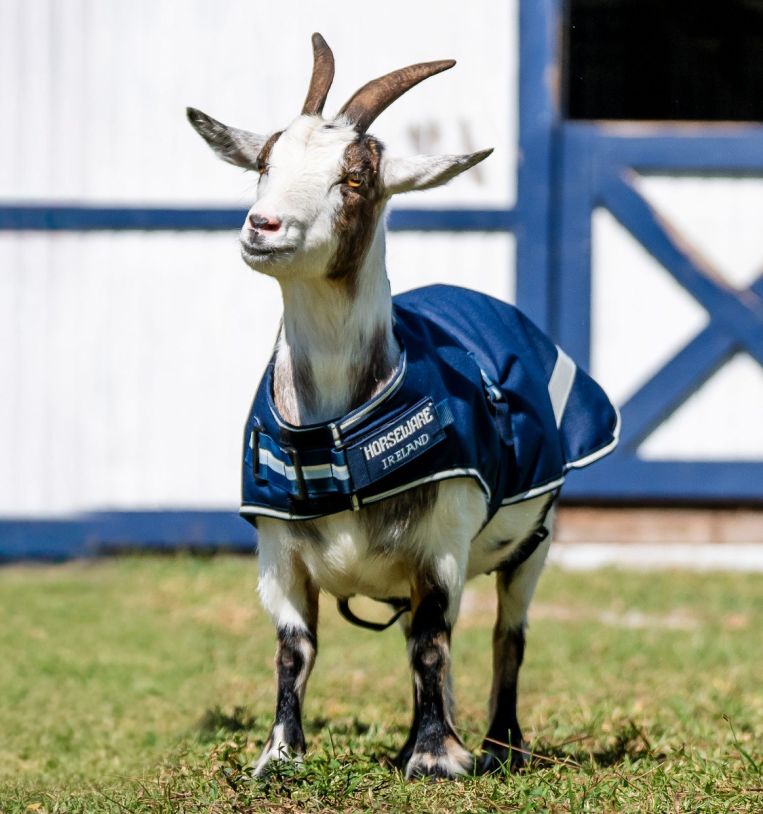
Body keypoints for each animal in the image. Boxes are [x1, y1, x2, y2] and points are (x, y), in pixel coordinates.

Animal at [187, 34, 619, 780]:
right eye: (266, 161)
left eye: (356, 179)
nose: (263, 226)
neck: (333, 426)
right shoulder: (277, 551)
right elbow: (294, 649)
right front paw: (280, 756)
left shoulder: (441, 539)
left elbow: (430, 641)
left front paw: (436, 758)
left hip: (534, 538)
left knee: (506, 635)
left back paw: (500, 746)